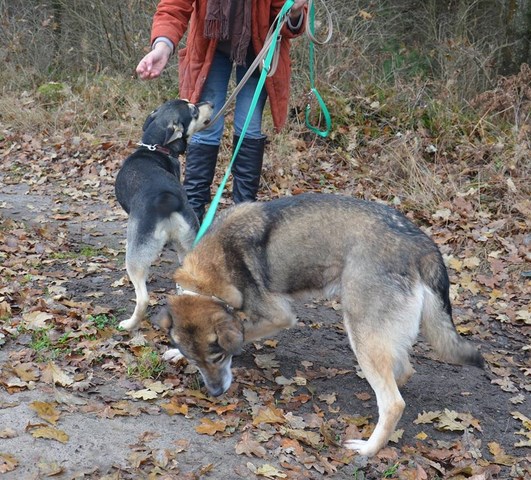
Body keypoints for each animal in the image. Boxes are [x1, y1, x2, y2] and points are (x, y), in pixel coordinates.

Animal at [116, 99, 214, 332]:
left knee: (143, 298)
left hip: (135, 257)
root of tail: (166, 198)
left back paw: (129, 324)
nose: (210, 102)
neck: (155, 147)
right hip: (188, 246)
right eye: (193, 110)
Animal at [155, 194, 486, 458]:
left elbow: (245, 330)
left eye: (218, 357)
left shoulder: (278, 315)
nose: (214, 393)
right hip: (376, 336)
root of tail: (422, 244)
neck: (209, 273)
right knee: (402, 371)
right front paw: (175, 353)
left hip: (360, 331)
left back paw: (368, 449)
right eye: (197, 361)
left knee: (394, 403)